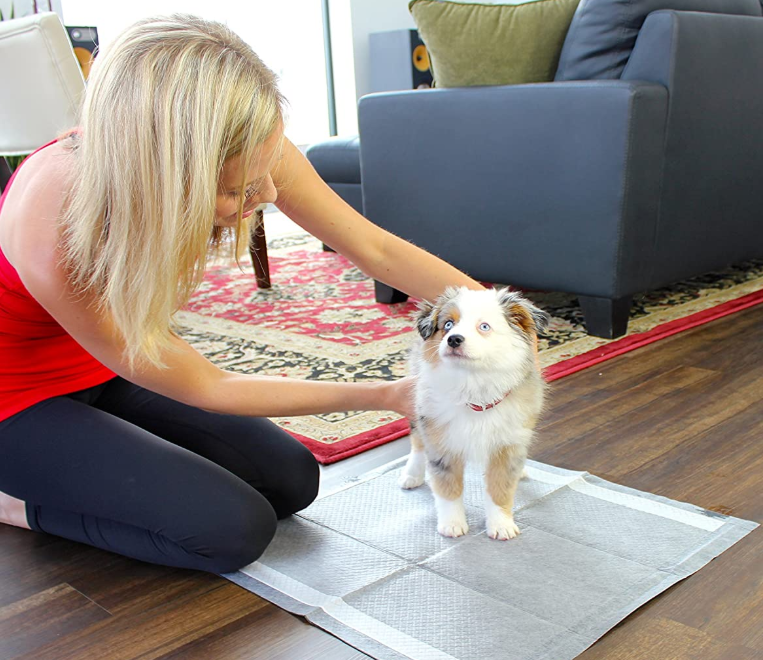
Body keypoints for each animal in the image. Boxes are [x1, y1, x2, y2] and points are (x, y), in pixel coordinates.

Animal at [400, 288, 548, 540]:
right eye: (448, 325)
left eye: (484, 326)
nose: (453, 339)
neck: (473, 388)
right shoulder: (442, 442)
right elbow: (448, 488)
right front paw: (452, 525)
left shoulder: (507, 445)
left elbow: (500, 489)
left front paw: (501, 525)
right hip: (419, 409)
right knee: (418, 443)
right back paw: (412, 475)